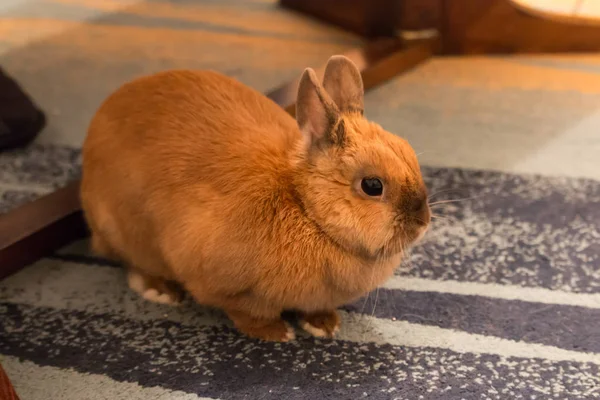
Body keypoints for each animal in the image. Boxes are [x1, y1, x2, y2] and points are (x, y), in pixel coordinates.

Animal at [79, 56, 428, 342]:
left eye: (411, 153)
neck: (305, 207)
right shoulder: (223, 282)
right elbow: (247, 314)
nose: (422, 223)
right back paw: (161, 290)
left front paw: (324, 324)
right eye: (372, 185)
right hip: (125, 230)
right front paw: (277, 333)